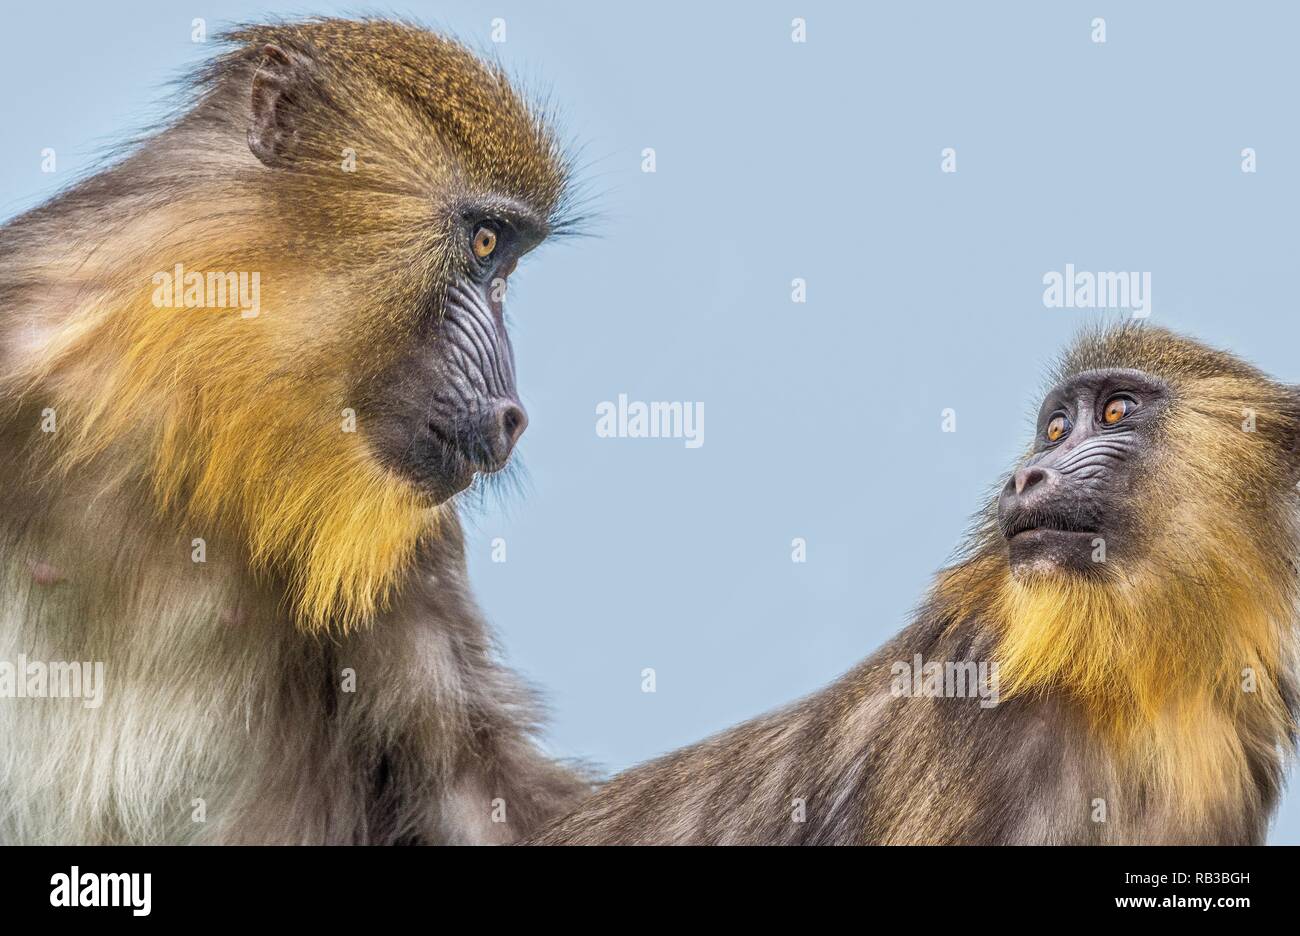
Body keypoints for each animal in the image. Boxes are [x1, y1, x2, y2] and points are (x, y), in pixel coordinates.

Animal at [0, 19, 592, 844]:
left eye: (502, 260)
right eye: (483, 245)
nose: (512, 415)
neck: (170, 414)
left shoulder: (408, 550)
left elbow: (480, 796)